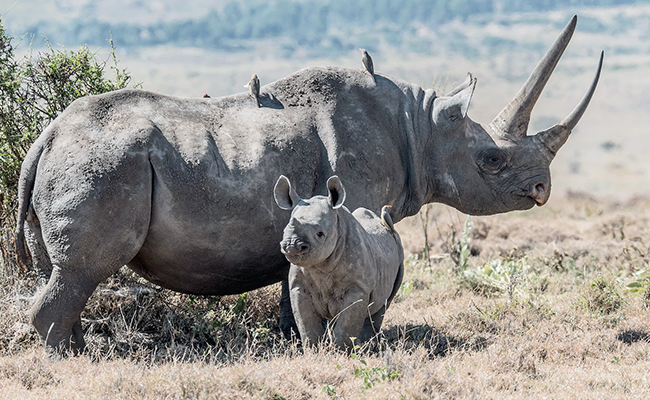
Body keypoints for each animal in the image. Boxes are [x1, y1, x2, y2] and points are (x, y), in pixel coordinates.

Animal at [274, 175, 404, 348]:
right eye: (283, 231)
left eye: (320, 233)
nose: (291, 245)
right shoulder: (298, 286)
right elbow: (306, 324)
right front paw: (314, 350)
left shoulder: (358, 287)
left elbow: (346, 326)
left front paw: (341, 351)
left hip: (399, 253)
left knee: (382, 305)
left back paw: (366, 346)